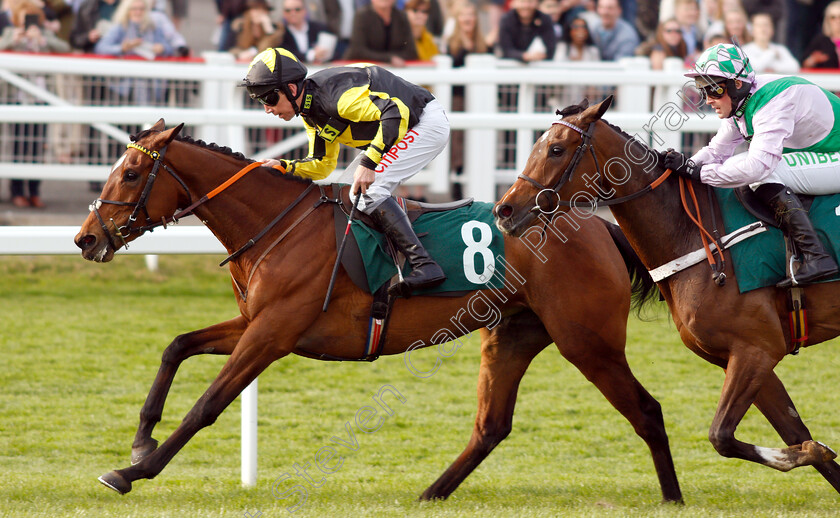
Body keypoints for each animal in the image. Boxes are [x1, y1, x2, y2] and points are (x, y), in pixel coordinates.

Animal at [75, 119, 684, 504]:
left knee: (647, 411)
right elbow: (176, 345)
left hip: (587, 341)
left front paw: (132, 471)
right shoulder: (254, 323)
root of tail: (599, 226)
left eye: (131, 174)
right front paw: (141, 438)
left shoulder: (271, 333)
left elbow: (207, 404)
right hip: (512, 334)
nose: (86, 238)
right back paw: (431, 493)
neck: (274, 225)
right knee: (491, 426)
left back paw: (673, 498)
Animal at [496, 96, 840, 496]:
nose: (504, 210)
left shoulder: (757, 349)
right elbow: (795, 432)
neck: (696, 236)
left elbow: (721, 436)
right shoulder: (744, 356)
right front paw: (815, 450)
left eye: (556, 149)